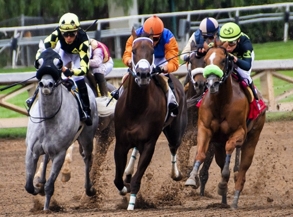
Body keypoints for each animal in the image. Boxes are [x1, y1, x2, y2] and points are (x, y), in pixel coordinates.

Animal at [24, 47, 98, 210]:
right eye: (38, 62)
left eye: (59, 64)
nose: (46, 84)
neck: (48, 120)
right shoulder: (32, 151)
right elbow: (28, 186)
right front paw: (38, 188)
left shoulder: (60, 154)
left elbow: (50, 185)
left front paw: (46, 209)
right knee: (45, 158)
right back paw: (40, 181)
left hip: (87, 137)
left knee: (87, 158)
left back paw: (89, 189)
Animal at [113, 28, 187, 210]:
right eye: (133, 51)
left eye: (152, 51)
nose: (144, 74)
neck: (136, 107)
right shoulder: (121, 142)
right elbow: (117, 179)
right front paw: (124, 187)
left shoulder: (149, 144)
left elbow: (137, 179)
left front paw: (131, 204)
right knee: (134, 151)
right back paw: (128, 172)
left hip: (175, 131)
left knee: (173, 147)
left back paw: (176, 174)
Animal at [186, 43, 266, 209]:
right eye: (205, 61)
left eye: (223, 60)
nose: (211, 84)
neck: (221, 102)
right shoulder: (204, 130)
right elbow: (200, 153)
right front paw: (191, 178)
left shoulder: (239, 132)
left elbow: (230, 151)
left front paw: (223, 182)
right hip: (218, 145)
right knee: (223, 161)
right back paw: (223, 200)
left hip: (252, 138)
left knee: (242, 170)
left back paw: (234, 200)